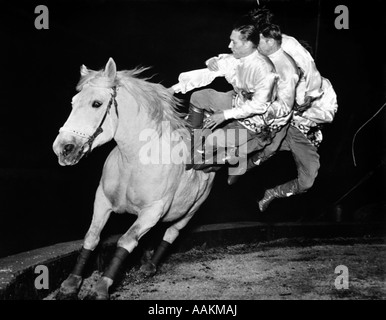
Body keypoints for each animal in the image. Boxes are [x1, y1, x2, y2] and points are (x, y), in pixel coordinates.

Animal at [52, 58, 216, 300]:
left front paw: (102, 286)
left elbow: (126, 241)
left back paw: (150, 266)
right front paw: (71, 283)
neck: (133, 161)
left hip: (192, 210)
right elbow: (91, 237)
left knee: (171, 233)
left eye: (96, 104)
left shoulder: (152, 211)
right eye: (73, 103)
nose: (63, 148)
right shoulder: (102, 200)